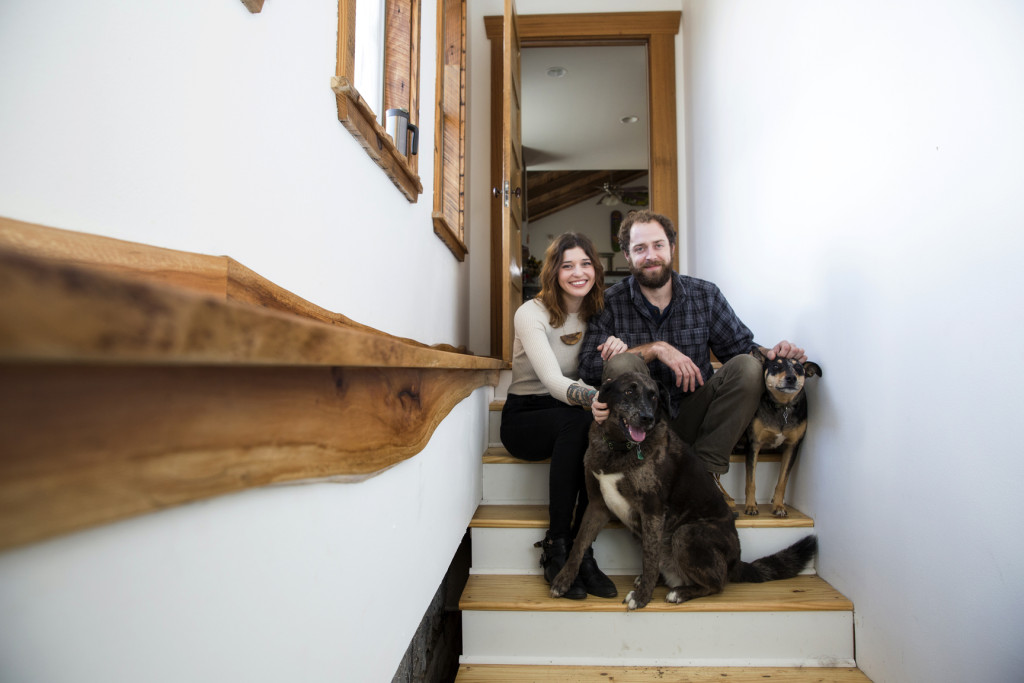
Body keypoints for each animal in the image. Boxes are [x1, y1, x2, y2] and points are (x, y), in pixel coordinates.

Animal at [552, 368, 815, 610]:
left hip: (685, 533)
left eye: (654, 396)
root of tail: (736, 562)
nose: (647, 418)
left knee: (717, 583)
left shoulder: (652, 511)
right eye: (628, 391)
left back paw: (679, 592)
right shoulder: (597, 505)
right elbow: (579, 544)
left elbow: (650, 558)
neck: (618, 447)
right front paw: (564, 581)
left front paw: (643, 598)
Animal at [741, 350, 819, 516]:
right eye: (776, 366)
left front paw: (778, 506)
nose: (791, 378)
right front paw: (750, 506)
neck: (783, 405)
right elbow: (751, 481)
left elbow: (783, 481)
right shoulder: (754, 444)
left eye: (798, 368)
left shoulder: (792, 447)